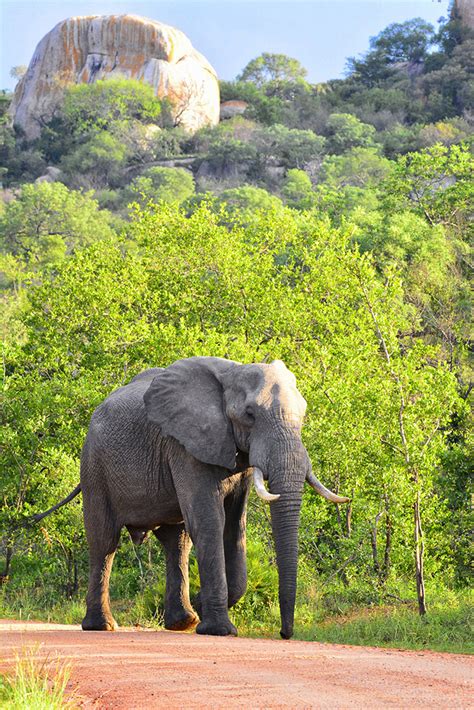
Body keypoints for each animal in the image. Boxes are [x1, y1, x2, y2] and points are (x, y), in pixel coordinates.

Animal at [37, 358, 348, 644]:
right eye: (249, 414)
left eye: (304, 414)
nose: (285, 634)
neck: (232, 373)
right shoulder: (185, 446)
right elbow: (210, 523)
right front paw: (220, 630)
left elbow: (234, 527)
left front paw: (203, 608)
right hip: (93, 465)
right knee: (104, 541)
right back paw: (102, 626)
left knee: (176, 541)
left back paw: (183, 622)